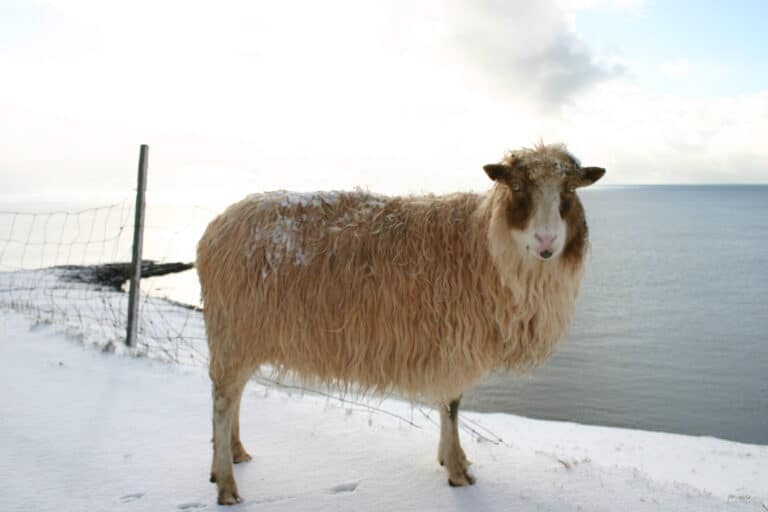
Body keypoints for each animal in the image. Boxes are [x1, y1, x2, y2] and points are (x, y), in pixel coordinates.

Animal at [196, 143, 605, 504]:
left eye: (569, 190)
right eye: (518, 187)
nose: (547, 242)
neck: (482, 246)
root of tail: (215, 228)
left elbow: (449, 405)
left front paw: (453, 458)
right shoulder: (453, 343)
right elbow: (451, 405)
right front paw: (457, 471)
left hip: (243, 337)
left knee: (235, 396)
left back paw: (235, 454)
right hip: (233, 333)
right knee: (222, 402)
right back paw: (226, 485)